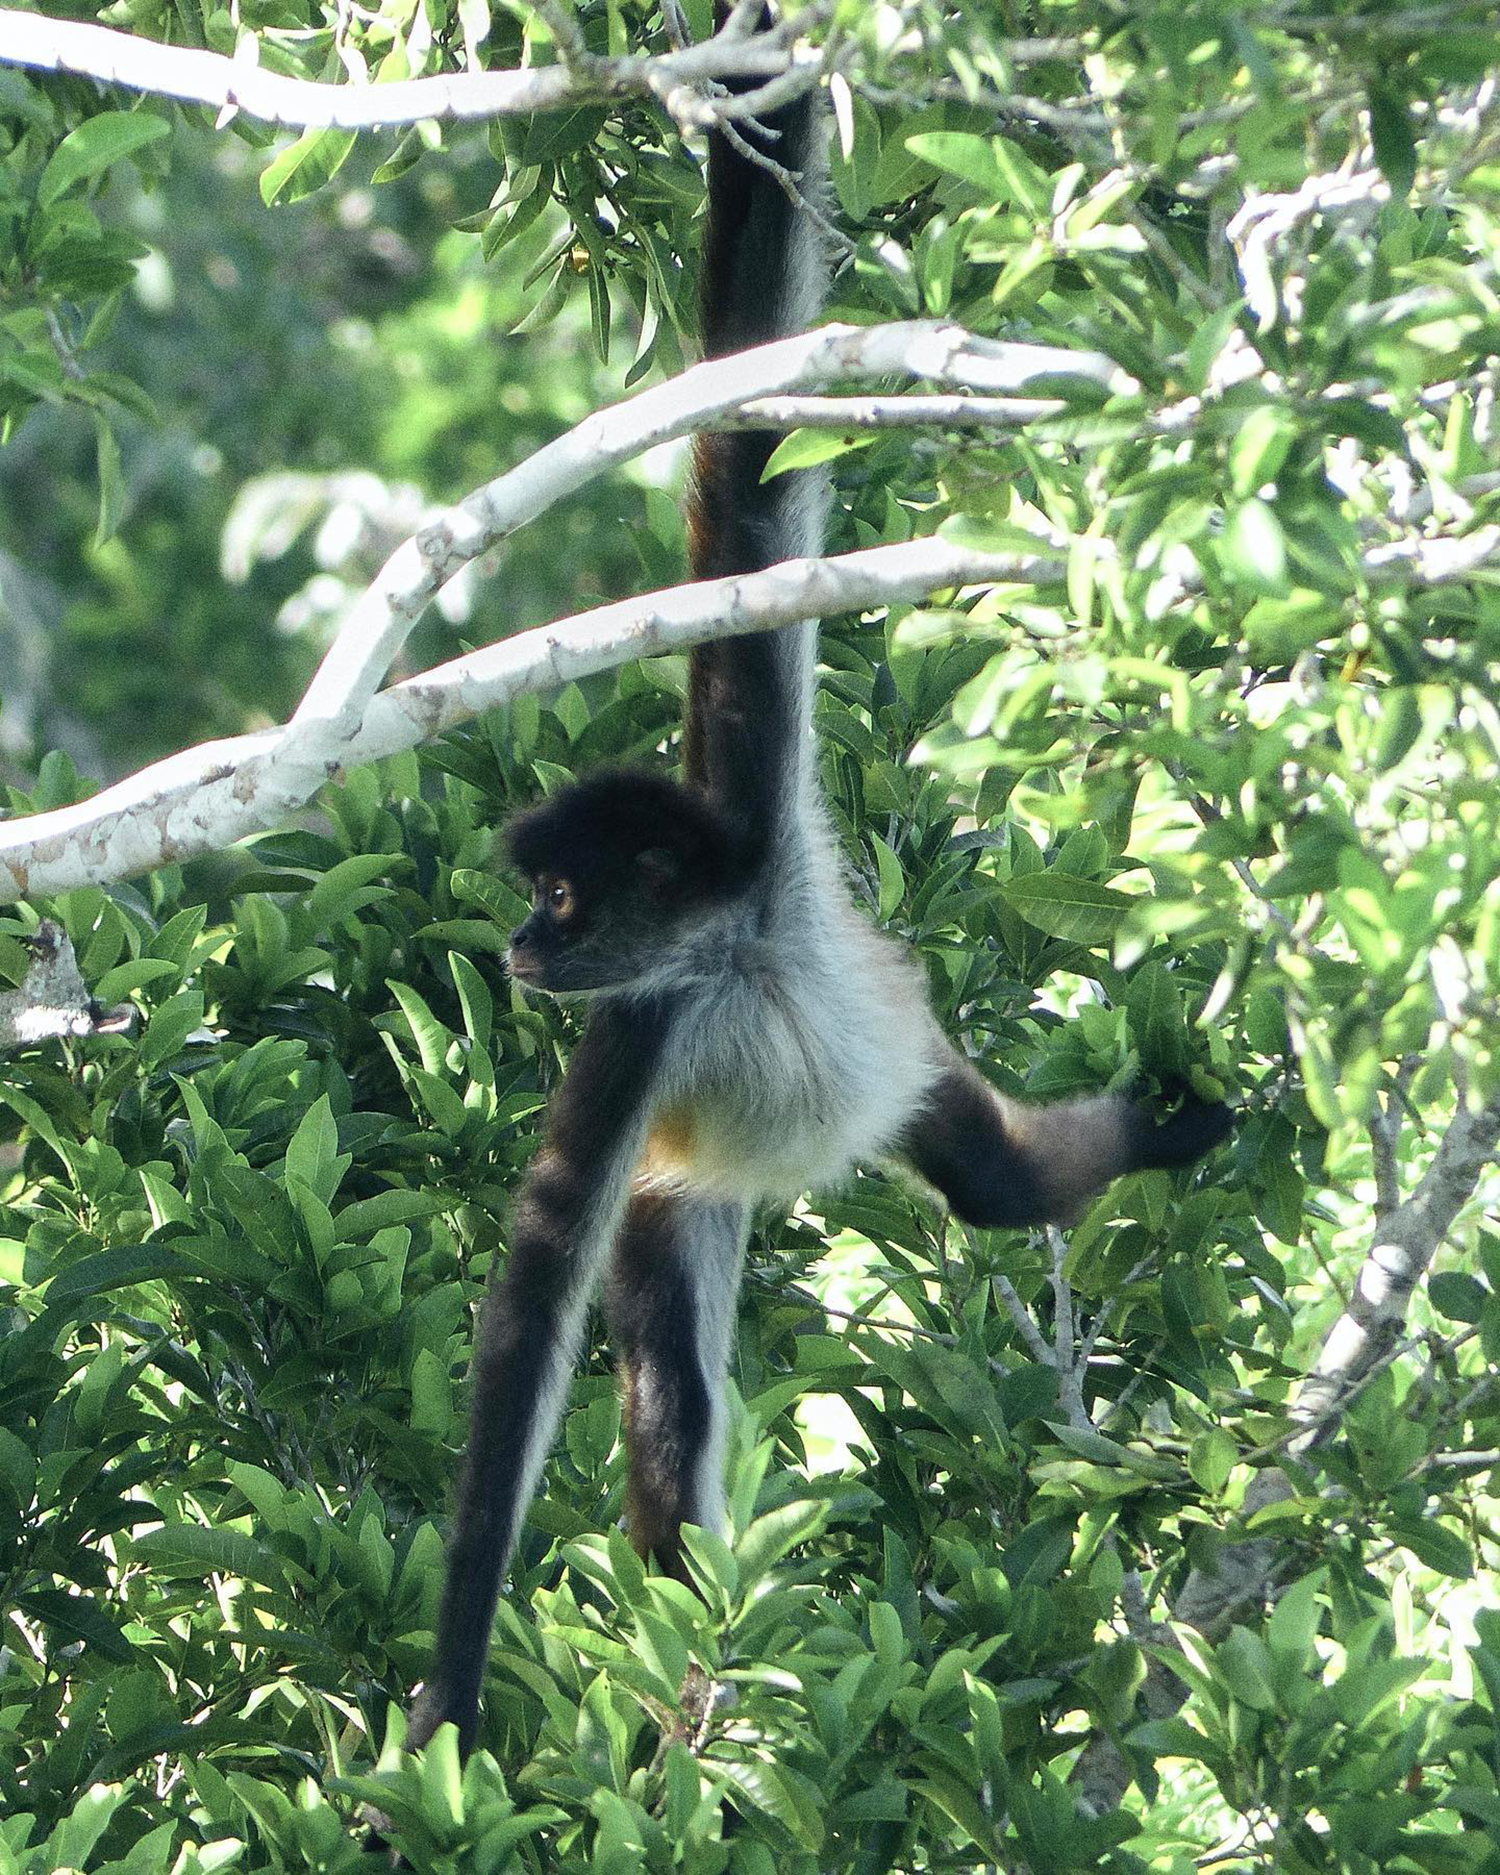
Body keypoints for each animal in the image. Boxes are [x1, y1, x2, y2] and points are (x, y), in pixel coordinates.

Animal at [410, 18, 1230, 1755]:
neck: (731, 946)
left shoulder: (758, 806)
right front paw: (445, 1694)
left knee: (994, 1177)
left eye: (564, 901)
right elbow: (537, 1286)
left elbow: (753, 454)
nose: (516, 943)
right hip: (685, 1196)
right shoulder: (641, 1029)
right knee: (677, 1396)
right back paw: (690, 1689)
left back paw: (1148, 1133)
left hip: (904, 1070)